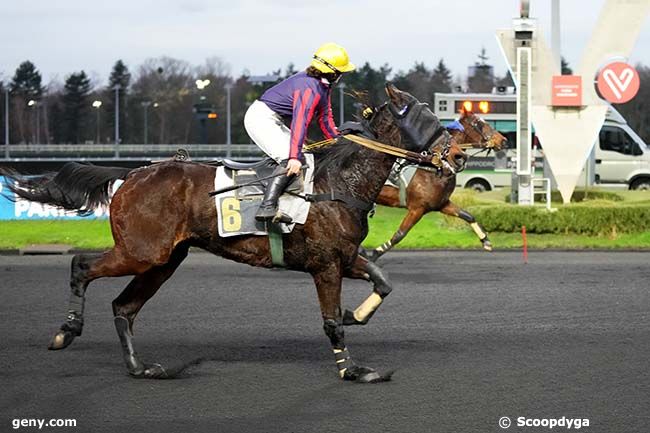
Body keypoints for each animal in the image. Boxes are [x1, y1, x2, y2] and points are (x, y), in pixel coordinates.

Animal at [1, 83, 466, 382]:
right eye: (429, 119)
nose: (459, 156)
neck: (338, 183)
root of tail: (130, 174)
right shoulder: (325, 265)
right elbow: (331, 322)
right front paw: (352, 370)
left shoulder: (345, 257)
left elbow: (383, 281)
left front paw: (359, 314)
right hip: (142, 251)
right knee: (81, 264)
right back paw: (65, 332)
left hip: (164, 260)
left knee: (123, 307)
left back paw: (140, 368)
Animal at [364, 110, 506, 260]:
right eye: (479, 124)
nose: (503, 140)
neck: (434, 167)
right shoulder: (417, 209)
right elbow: (400, 235)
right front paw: (372, 254)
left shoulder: (441, 204)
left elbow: (467, 215)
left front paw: (485, 240)